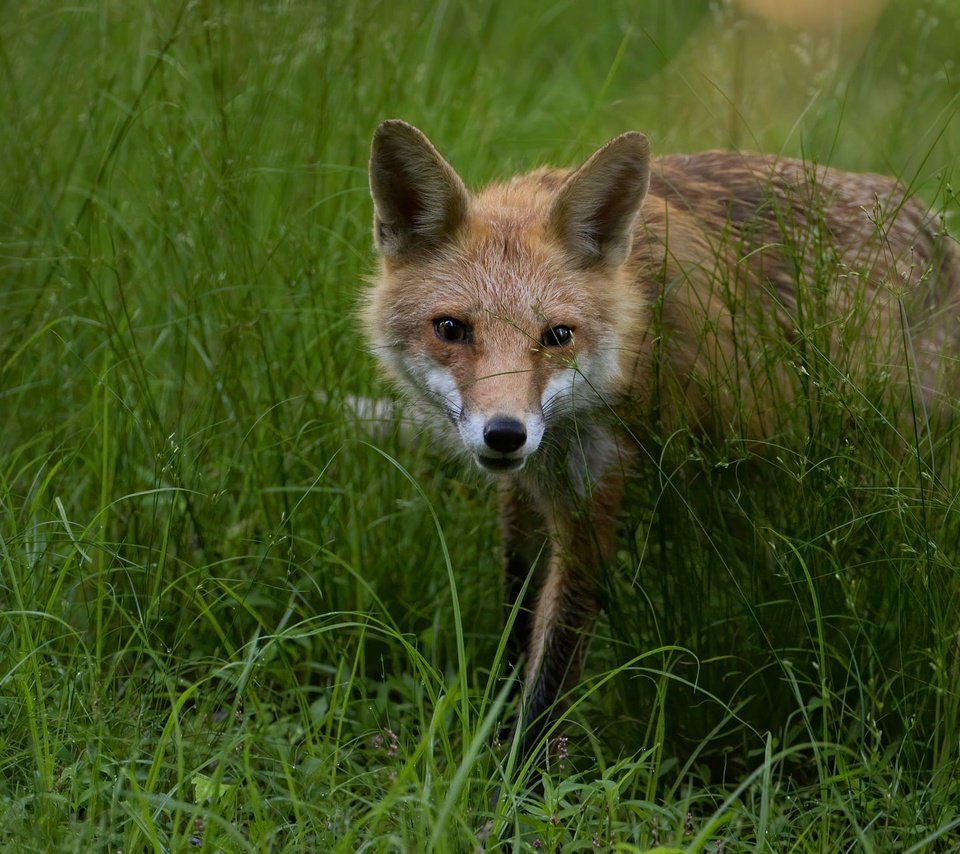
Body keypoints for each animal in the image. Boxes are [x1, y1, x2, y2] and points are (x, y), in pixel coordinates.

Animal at [362, 118, 960, 764]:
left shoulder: (593, 500)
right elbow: (516, 629)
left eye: (558, 335)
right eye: (451, 328)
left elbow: (551, 673)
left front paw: (516, 776)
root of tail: (934, 227)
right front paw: (490, 735)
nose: (505, 434)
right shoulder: (525, 497)